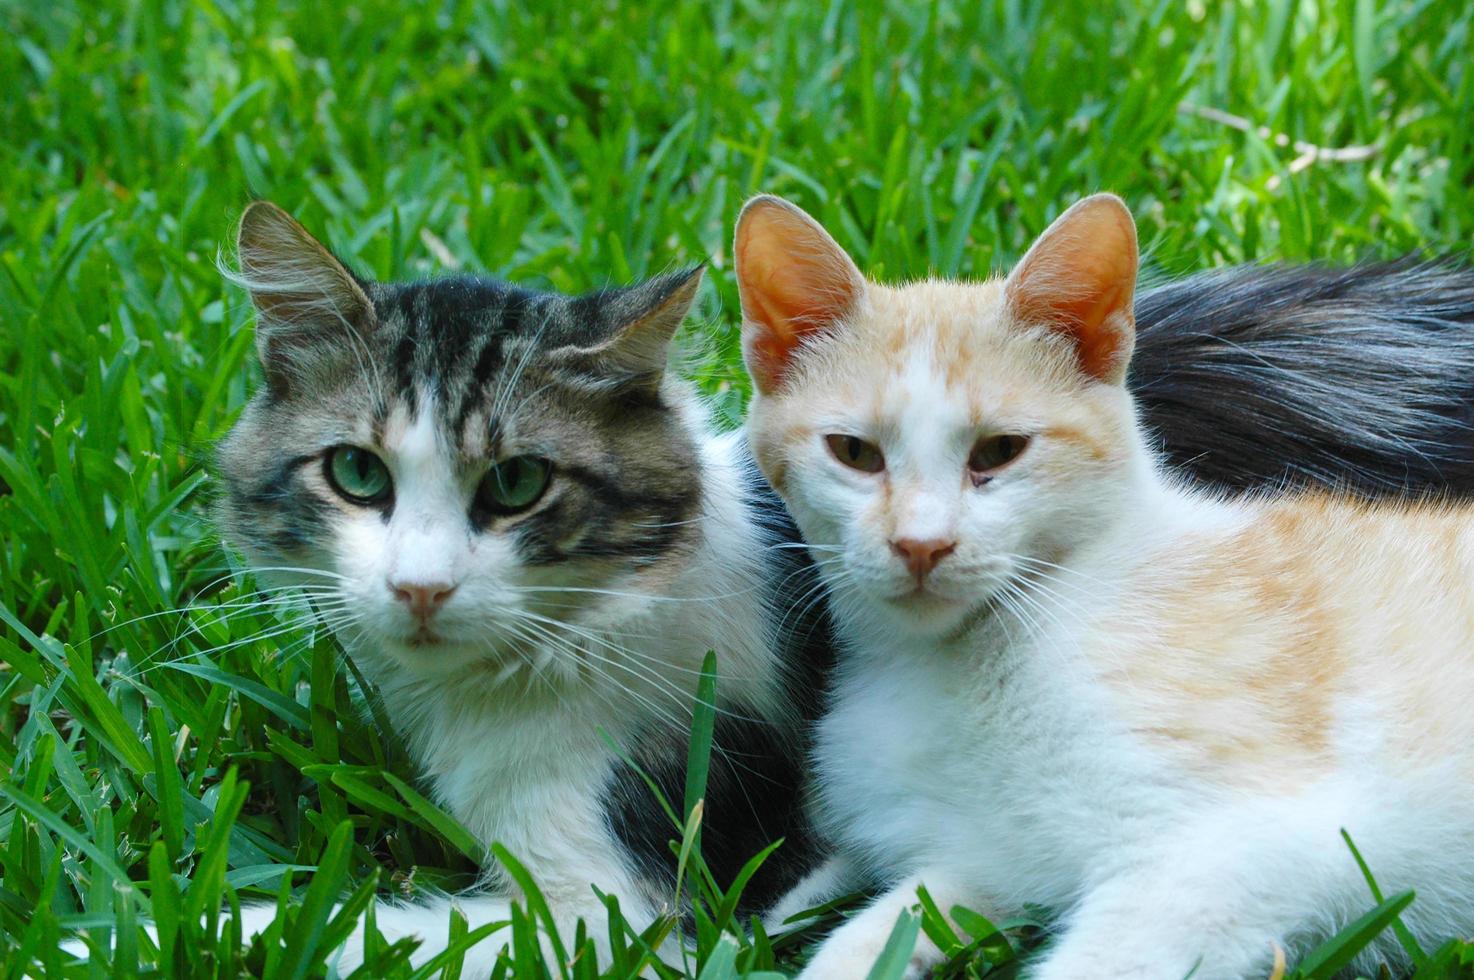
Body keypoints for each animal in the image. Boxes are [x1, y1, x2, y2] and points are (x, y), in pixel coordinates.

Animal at [737, 193, 1474, 978]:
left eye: (1000, 450)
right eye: (854, 453)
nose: (921, 544)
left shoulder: (1246, 843)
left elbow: (1096, 960)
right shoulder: (985, 861)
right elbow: (876, 934)